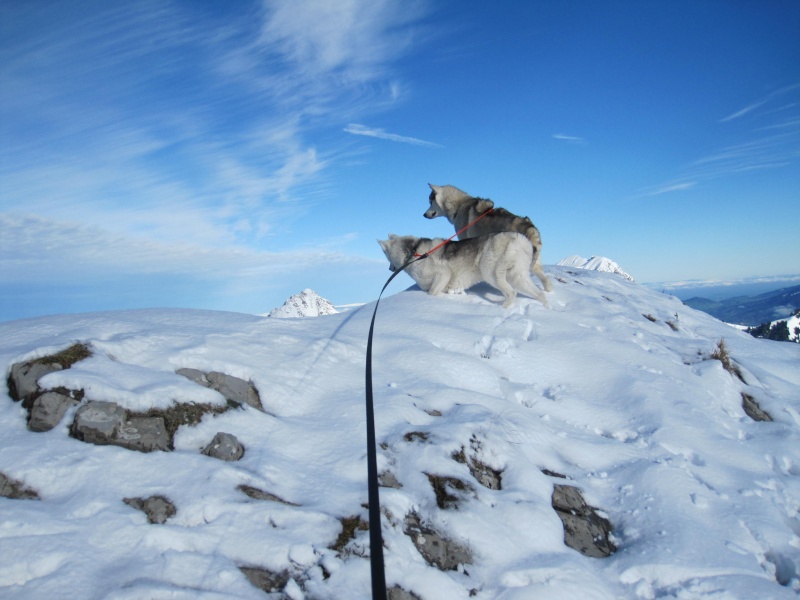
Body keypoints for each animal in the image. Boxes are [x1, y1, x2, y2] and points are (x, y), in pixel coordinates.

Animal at [378, 232, 548, 310]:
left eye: (385, 255)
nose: (389, 269)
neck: (414, 252)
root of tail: (518, 238)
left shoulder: (443, 274)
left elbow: (433, 293)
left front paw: (445, 297)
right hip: (518, 277)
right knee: (539, 294)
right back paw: (547, 307)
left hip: (491, 274)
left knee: (511, 293)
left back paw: (503, 308)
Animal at [424, 185, 552, 292]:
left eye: (430, 201)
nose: (424, 215)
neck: (459, 206)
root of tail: (530, 228)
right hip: (534, 264)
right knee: (546, 280)